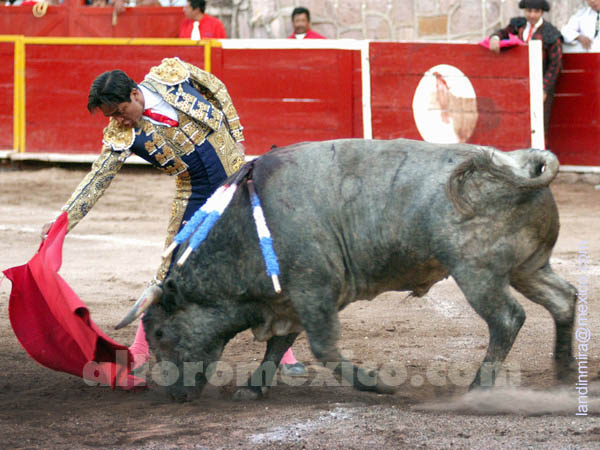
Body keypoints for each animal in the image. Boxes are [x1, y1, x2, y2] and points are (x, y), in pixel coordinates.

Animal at [120, 139, 576, 402]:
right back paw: (565, 370)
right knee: (565, 299)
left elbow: (323, 349)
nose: (173, 395)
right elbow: (278, 345)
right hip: (528, 267)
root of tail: (518, 166)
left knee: (507, 318)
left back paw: (479, 388)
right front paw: (252, 387)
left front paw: (379, 384)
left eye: (159, 333)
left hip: (475, 272)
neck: (245, 232)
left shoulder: (313, 291)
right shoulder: (290, 299)